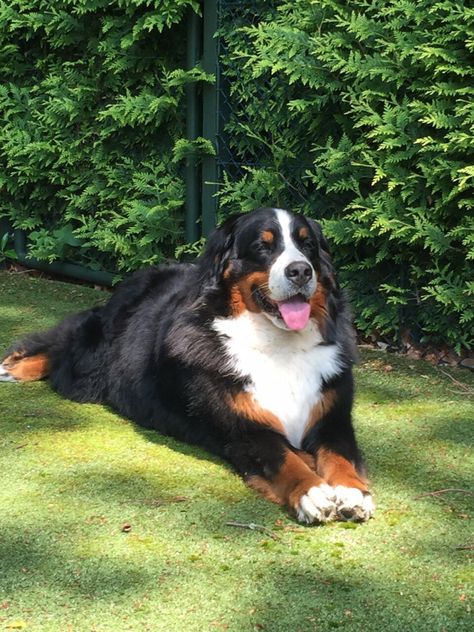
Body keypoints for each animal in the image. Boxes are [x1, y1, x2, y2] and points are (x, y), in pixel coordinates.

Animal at [2, 207, 374, 524]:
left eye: (306, 244)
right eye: (262, 246)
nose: (300, 270)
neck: (279, 346)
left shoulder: (333, 418)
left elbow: (339, 456)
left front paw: (352, 492)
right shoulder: (245, 431)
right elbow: (286, 461)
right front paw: (313, 493)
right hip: (88, 368)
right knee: (65, 345)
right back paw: (15, 367)